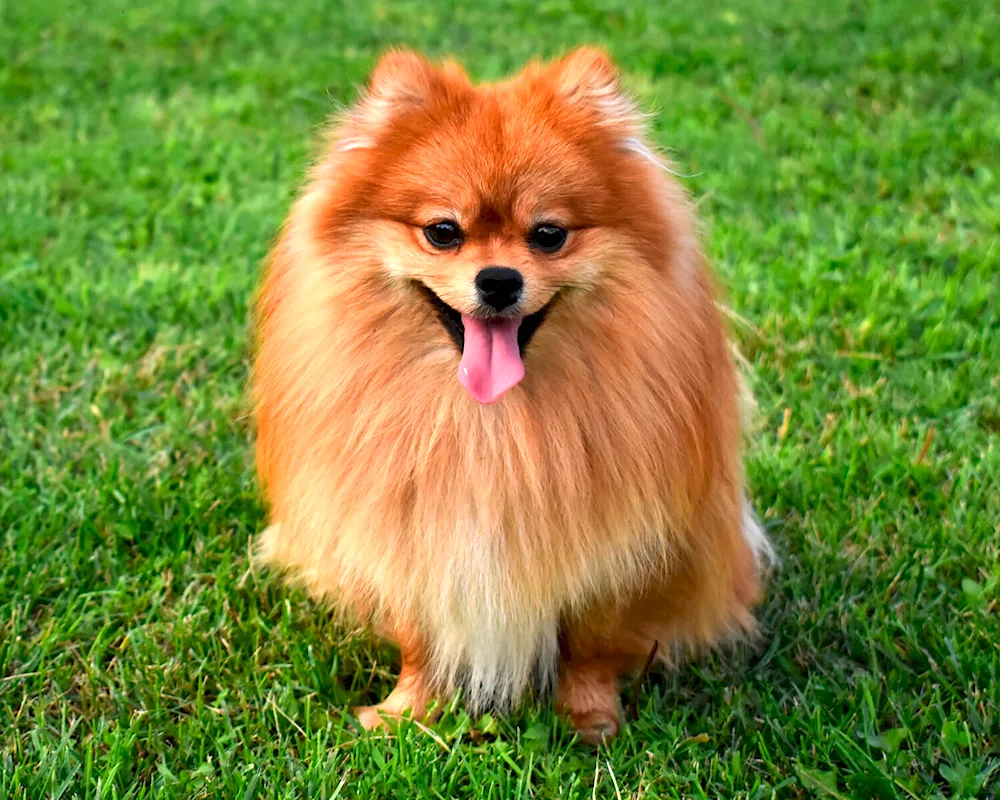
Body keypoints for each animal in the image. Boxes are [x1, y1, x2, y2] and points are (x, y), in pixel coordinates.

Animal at [252, 45, 772, 744]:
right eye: (443, 232)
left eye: (548, 235)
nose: (498, 279)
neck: (487, 422)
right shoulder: (412, 531)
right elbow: (419, 636)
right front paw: (406, 713)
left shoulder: (613, 547)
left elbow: (591, 643)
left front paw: (590, 720)